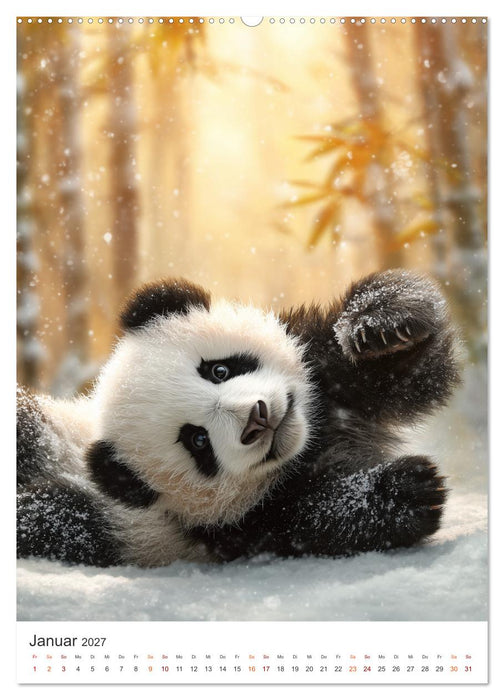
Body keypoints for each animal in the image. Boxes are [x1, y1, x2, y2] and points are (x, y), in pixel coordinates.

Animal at [17, 269, 460, 568]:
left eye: (219, 370)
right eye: (197, 441)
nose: (257, 419)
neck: (310, 442)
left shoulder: (322, 376)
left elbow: (413, 373)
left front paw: (382, 325)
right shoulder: (236, 527)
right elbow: (312, 519)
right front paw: (407, 491)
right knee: (63, 520)